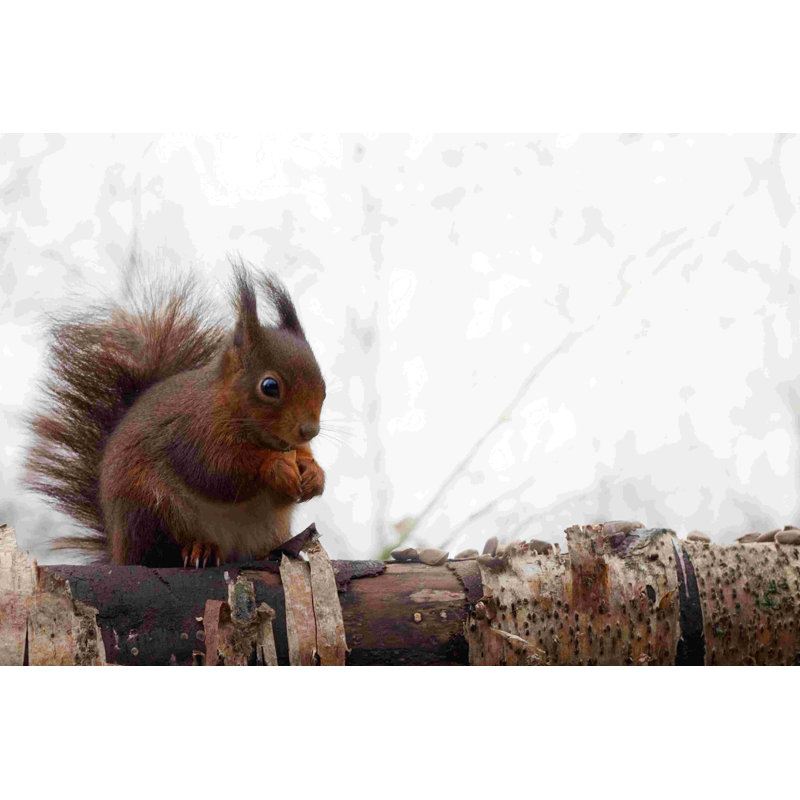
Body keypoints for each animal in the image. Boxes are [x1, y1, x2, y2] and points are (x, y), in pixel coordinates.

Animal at [23, 260, 326, 567]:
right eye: (269, 386)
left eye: (323, 387)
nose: (309, 430)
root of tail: (117, 552)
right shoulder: (194, 431)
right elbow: (219, 470)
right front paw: (274, 465)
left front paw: (314, 473)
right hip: (147, 506)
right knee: (160, 550)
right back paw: (200, 549)